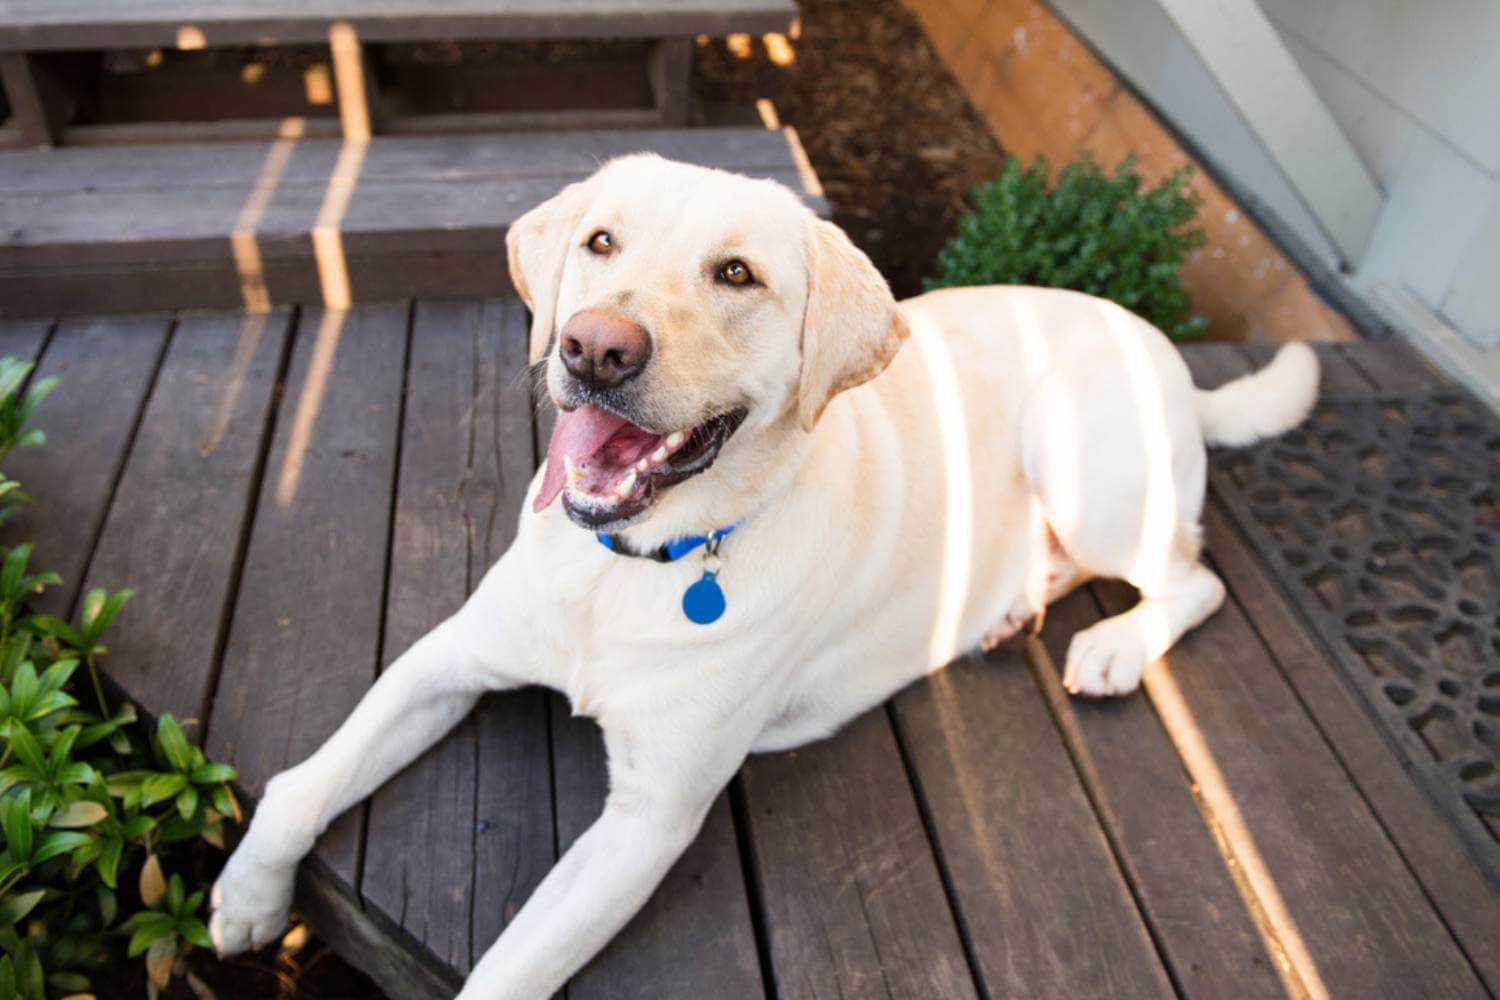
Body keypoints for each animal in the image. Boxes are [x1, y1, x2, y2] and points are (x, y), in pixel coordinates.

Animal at [208, 152, 1314, 995]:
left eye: (736, 274)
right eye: (600, 243)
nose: (594, 347)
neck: (637, 566)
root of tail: (1166, 351)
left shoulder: (649, 818)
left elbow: (508, 970)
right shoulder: (449, 657)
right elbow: (303, 785)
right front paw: (248, 895)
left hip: (1077, 454)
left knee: (1194, 575)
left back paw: (1116, 646)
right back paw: (1008, 611)